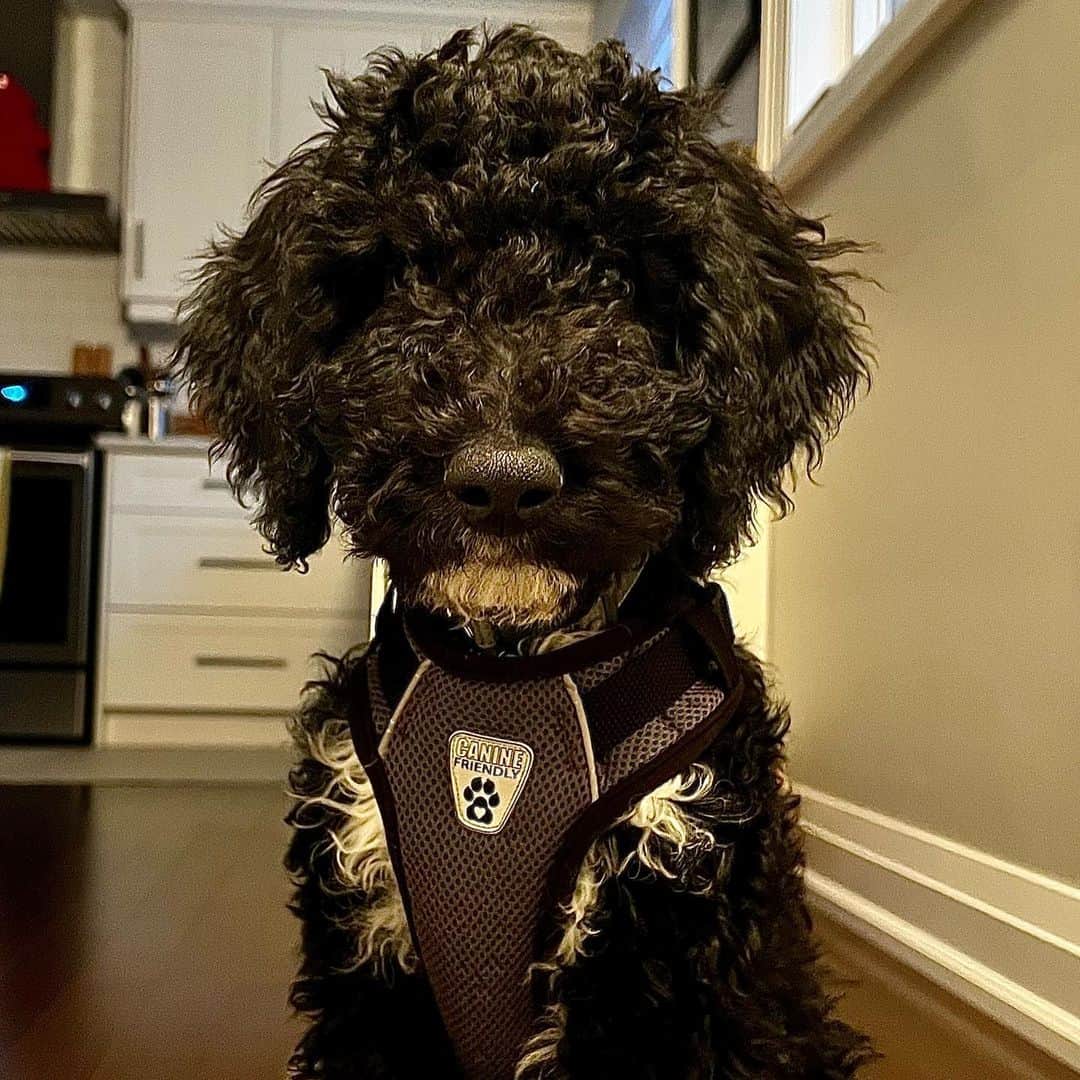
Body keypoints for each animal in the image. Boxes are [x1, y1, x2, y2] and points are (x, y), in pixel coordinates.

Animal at [174, 25, 868, 1080]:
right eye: (405, 274)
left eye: (617, 278)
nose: (503, 479)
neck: (509, 668)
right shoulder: (367, 971)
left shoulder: (678, 942)